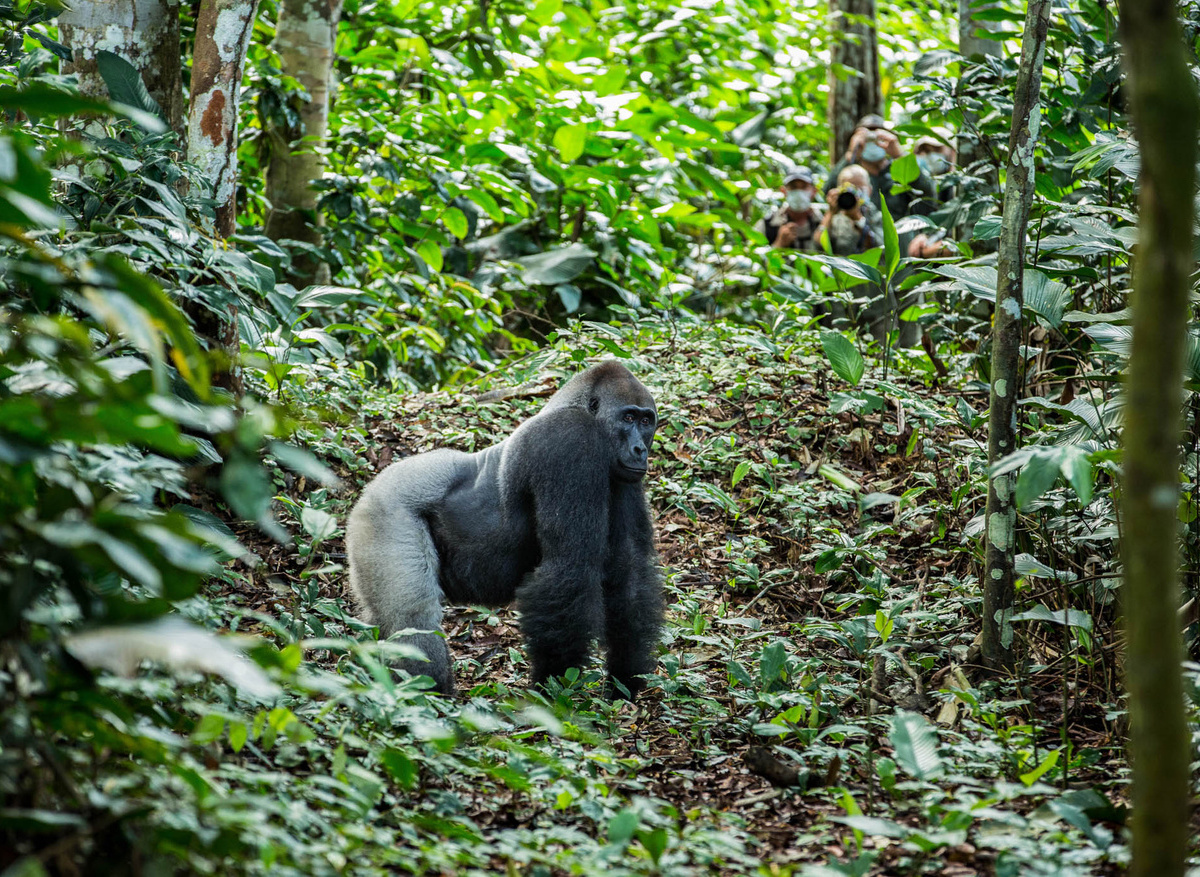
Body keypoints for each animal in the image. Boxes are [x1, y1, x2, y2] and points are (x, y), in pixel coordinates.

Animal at [345, 361, 663, 696]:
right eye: (628, 418)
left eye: (646, 421)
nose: (640, 450)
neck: (573, 405)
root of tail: (369, 489)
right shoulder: (569, 440)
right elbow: (569, 568)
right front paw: (554, 687)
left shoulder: (623, 476)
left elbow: (628, 571)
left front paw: (625, 678)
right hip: (384, 511)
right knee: (412, 617)